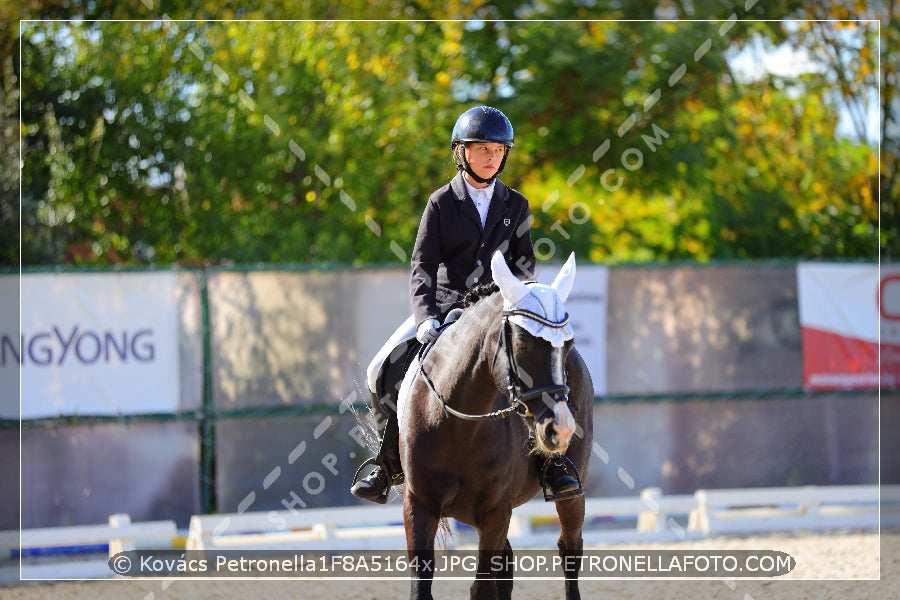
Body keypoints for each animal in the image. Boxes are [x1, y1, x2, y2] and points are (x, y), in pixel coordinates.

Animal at [400, 252, 596, 600]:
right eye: (522, 344)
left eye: (568, 344)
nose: (560, 429)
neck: (458, 427)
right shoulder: (419, 503)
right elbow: (422, 587)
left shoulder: (495, 513)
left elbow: (482, 587)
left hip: (572, 491)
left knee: (569, 548)